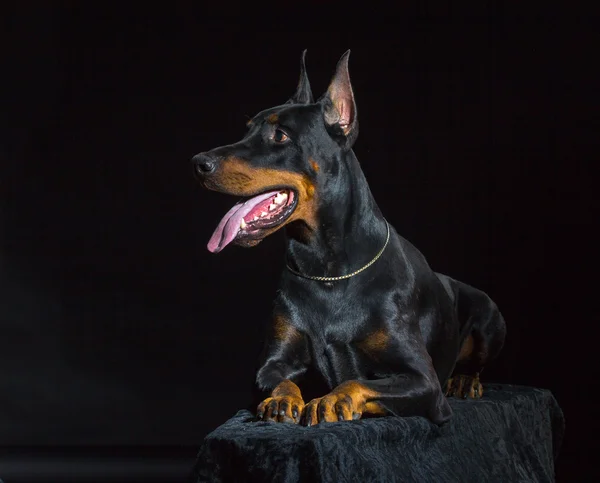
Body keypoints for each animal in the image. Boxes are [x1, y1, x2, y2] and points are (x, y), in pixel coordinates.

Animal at [192, 50, 506, 428]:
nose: (198, 163)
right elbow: (280, 380)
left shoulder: (422, 379)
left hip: (489, 316)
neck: (327, 271)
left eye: (280, 135)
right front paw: (282, 400)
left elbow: (358, 381)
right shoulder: (272, 363)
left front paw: (330, 401)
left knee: (475, 364)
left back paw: (463, 381)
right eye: (247, 128)